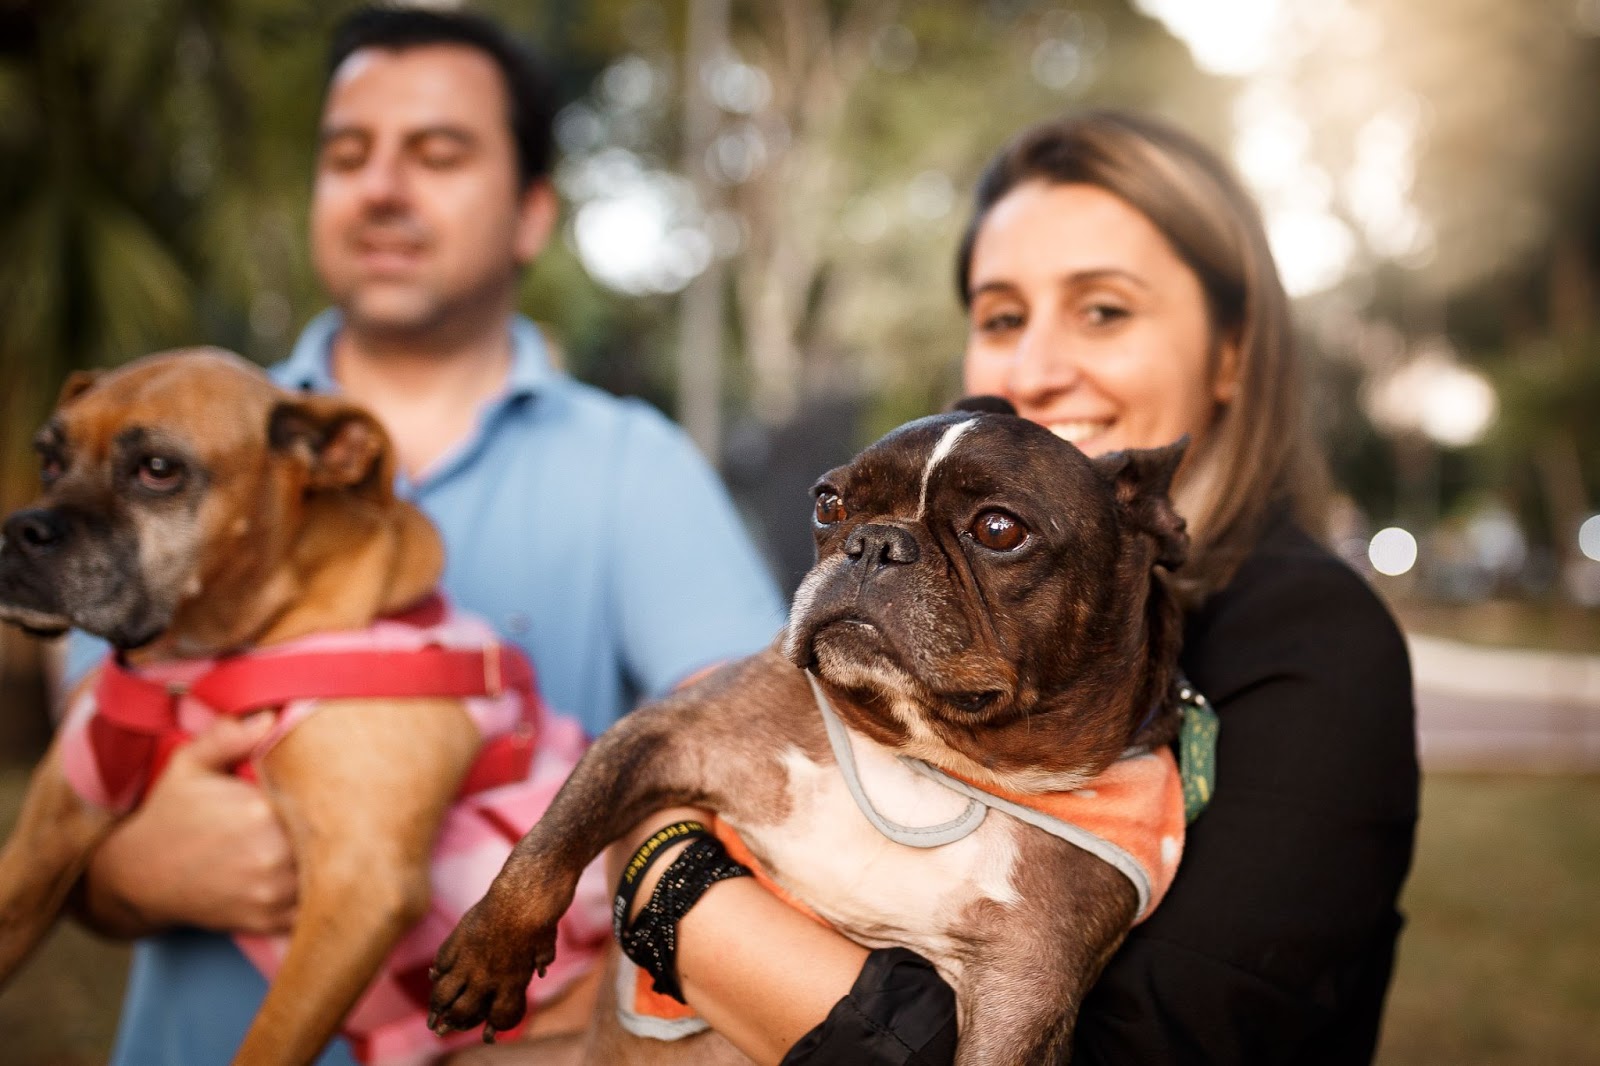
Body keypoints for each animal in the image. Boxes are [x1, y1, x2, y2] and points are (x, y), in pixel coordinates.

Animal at [0, 344, 480, 1056]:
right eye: (49, 462)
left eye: (158, 470)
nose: (19, 529)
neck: (197, 669)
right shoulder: (45, 842)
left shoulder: (363, 884)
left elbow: (269, 1042)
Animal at [425, 403, 1190, 1056]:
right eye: (829, 503)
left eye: (999, 530)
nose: (876, 542)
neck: (927, 756)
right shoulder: (670, 732)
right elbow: (553, 837)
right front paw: (490, 953)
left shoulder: (1025, 994)